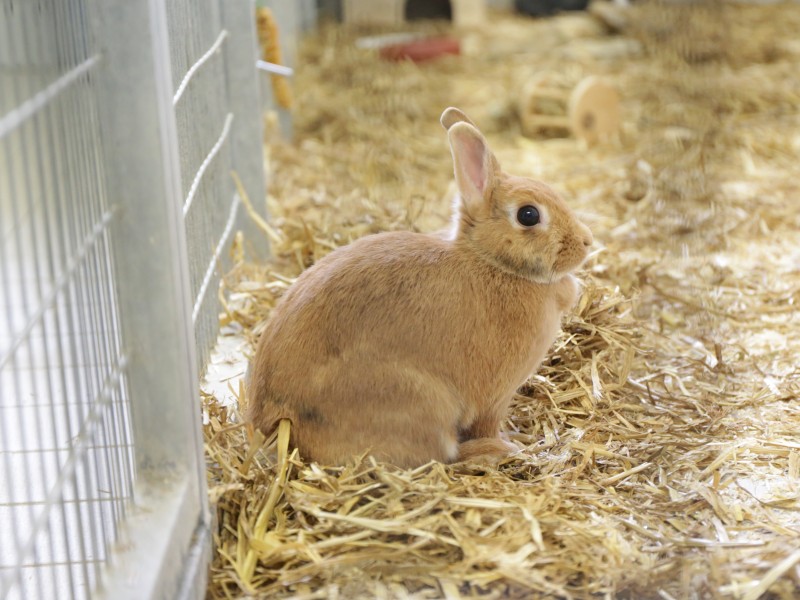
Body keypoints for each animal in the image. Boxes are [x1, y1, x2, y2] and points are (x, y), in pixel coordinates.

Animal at [250, 105, 592, 466]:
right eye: (528, 215)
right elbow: (488, 423)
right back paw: (491, 451)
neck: (492, 262)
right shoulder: (494, 397)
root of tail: (277, 425)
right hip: (417, 401)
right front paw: (510, 440)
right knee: (443, 455)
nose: (586, 241)